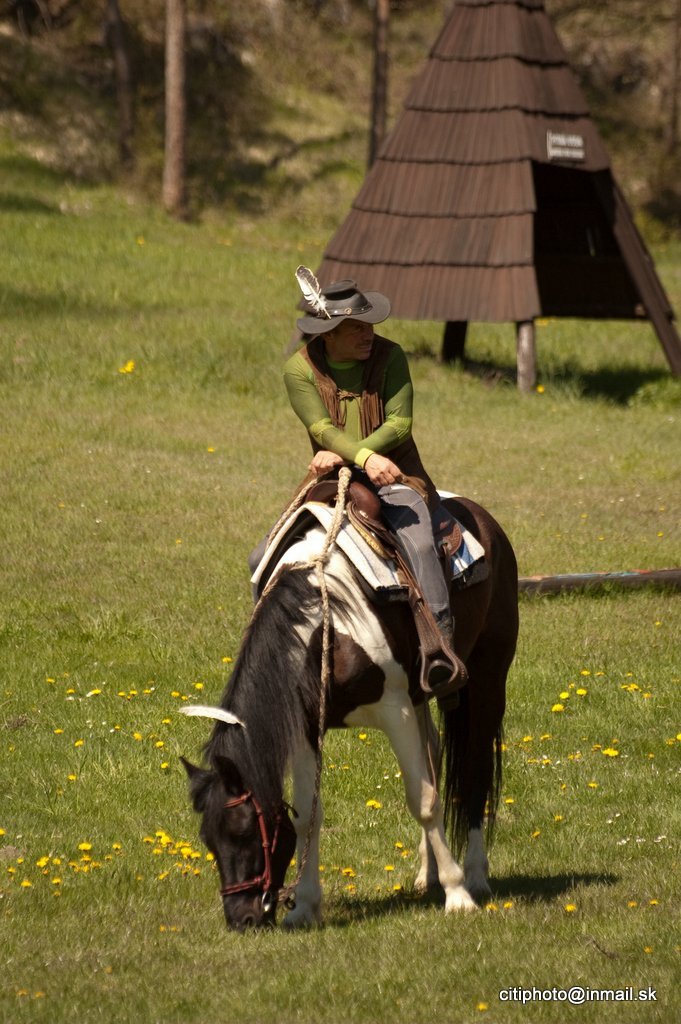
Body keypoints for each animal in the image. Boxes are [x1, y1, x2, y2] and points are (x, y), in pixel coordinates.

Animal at [181, 493, 518, 931]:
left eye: (242, 832)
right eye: (208, 839)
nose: (242, 918)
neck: (328, 627)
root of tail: (477, 514)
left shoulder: (395, 709)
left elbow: (424, 799)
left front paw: (457, 894)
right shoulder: (307, 726)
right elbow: (308, 814)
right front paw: (305, 907)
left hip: (487, 676)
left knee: (475, 770)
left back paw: (475, 875)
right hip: (422, 700)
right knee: (434, 754)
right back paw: (426, 875)